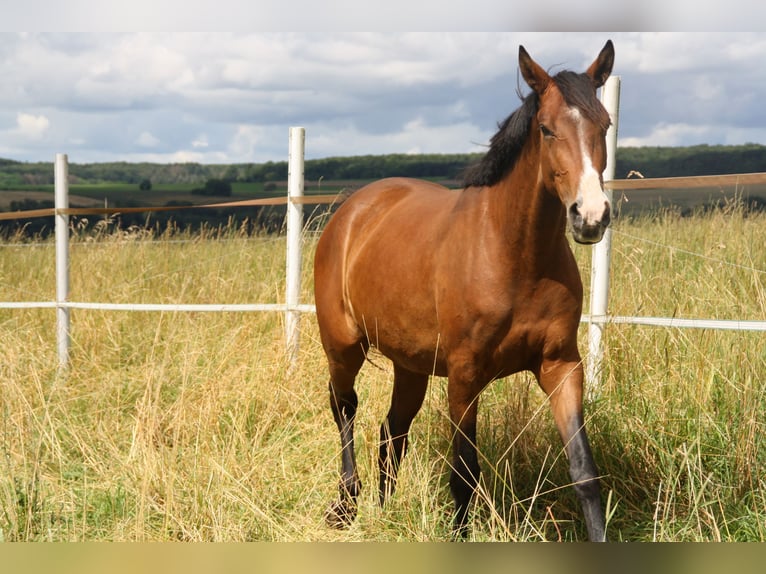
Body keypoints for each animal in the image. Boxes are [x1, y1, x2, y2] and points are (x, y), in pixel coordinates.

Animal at [314, 40, 616, 544]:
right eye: (547, 129)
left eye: (605, 125)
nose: (590, 216)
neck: (513, 254)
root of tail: (352, 211)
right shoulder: (464, 375)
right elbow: (464, 474)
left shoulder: (560, 367)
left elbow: (584, 472)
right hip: (343, 346)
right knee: (345, 409)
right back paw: (345, 506)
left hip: (410, 365)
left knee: (391, 432)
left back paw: (385, 509)